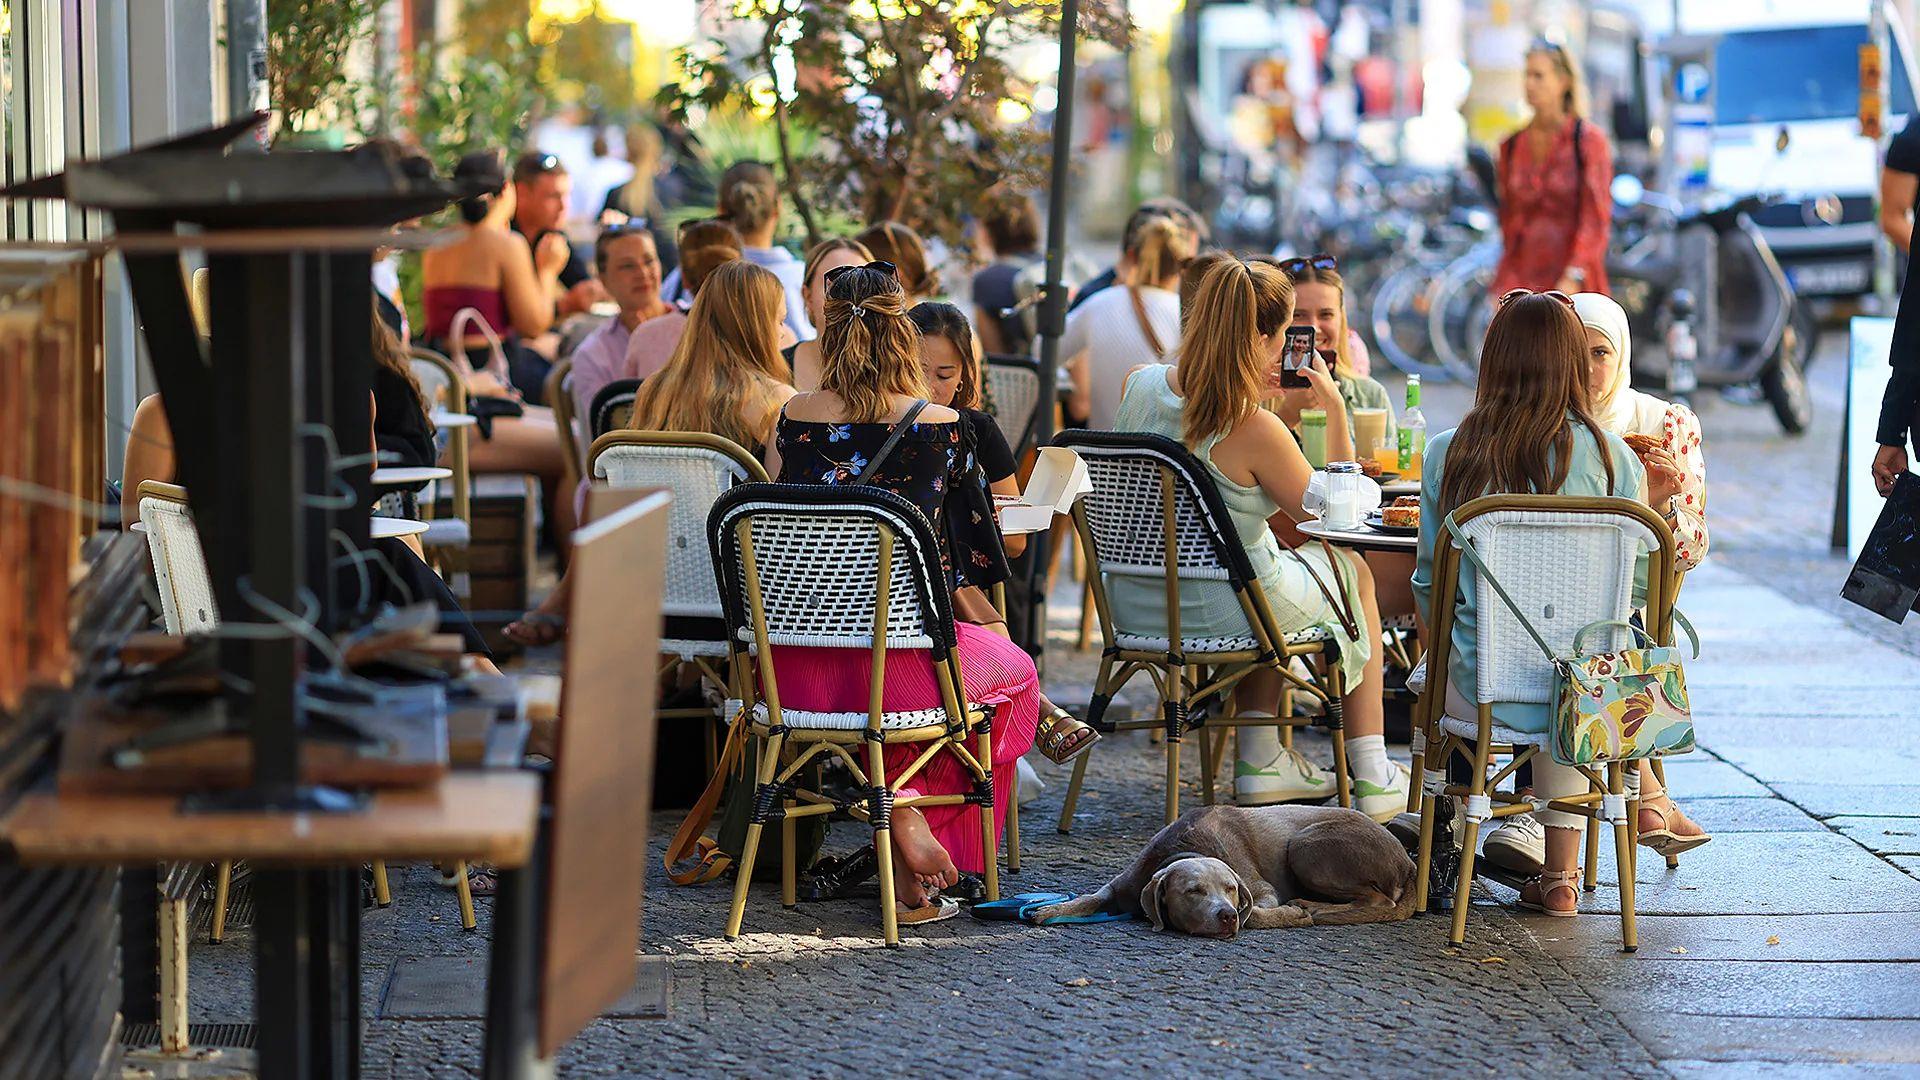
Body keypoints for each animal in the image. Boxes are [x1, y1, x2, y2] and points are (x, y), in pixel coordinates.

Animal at [1029, 799, 1420, 933]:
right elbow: (1091, 898)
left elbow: (1259, 912)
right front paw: (1048, 910)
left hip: (1306, 844)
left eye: (1231, 890)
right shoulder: (1124, 883)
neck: (1184, 849)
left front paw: (1292, 915)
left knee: (1379, 901)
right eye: (1193, 891)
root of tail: (1408, 862)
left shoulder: (1260, 889)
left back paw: (1314, 907)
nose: (1227, 915)